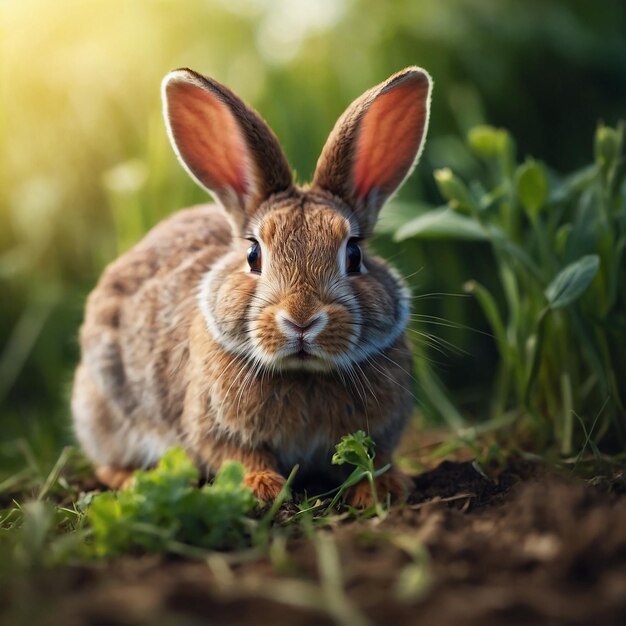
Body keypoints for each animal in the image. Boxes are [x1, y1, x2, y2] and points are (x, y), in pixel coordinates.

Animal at [72, 66, 428, 504]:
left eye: (354, 255)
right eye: (253, 255)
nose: (302, 320)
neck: (302, 373)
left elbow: (371, 458)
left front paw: (384, 488)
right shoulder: (216, 428)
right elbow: (239, 456)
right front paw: (263, 488)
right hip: (104, 407)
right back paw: (133, 480)